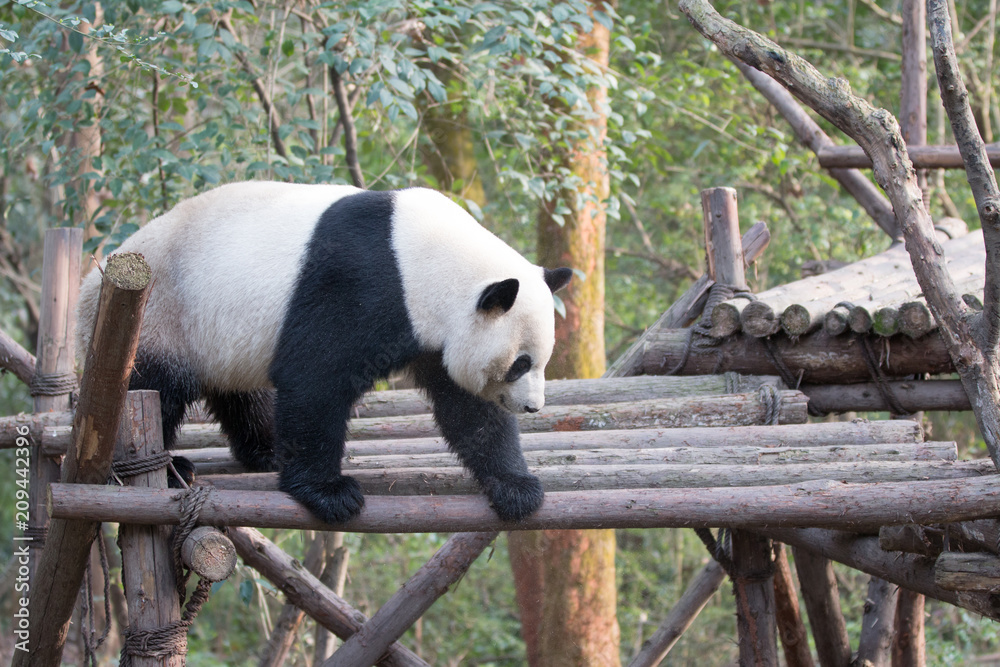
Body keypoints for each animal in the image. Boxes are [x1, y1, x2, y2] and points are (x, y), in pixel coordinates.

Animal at [77, 183, 572, 528]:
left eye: (542, 360)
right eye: (521, 363)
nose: (533, 407)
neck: (419, 257)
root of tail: (93, 280)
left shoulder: (433, 331)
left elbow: (468, 410)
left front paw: (516, 487)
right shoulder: (359, 282)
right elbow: (316, 381)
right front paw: (330, 494)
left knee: (244, 396)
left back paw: (265, 452)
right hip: (160, 315)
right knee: (150, 387)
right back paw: (160, 466)